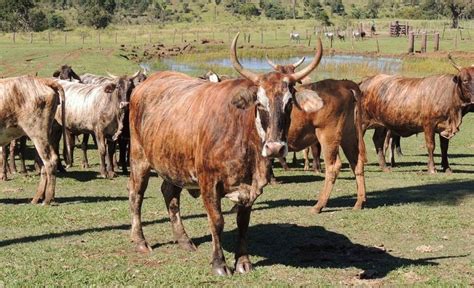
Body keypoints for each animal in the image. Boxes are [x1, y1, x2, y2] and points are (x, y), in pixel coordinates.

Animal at [0, 75, 66, 204]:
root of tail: (41, 81)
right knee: (43, 164)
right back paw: (38, 198)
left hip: (37, 133)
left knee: (50, 161)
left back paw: (47, 200)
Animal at [128, 34, 324, 276]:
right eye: (260, 103)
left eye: (289, 104)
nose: (275, 148)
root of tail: (146, 83)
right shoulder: (209, 182)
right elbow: (217, 221)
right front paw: (219, 263)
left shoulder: (249, 187)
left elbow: (243, 223)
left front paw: (243, 261)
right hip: (139, 159)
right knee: (136, 196)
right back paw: (140, 241)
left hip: (173, 162)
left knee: (170, 195)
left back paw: (184, 240)